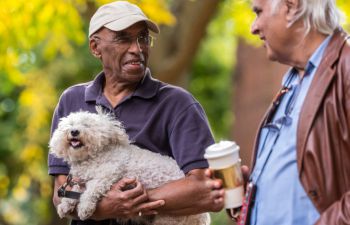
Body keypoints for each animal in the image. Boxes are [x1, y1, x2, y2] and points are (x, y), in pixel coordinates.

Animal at [49, 108, 211, 224]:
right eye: (70, 125)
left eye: (86, 125)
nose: (74, 131)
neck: (91, 157)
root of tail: (203, 216)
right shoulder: (80, 180)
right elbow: (75, 190)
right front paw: (65, 205)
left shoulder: (109, 173)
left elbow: (91, 191)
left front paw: (85, 208)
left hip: (170, 219)